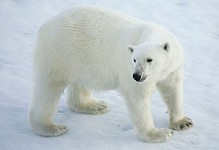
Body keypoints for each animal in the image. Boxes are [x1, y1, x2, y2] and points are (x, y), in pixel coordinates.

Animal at [28, 6, 192, 143]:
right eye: (134, 59)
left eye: (149, 59)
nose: (137, 76)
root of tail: (45, 25)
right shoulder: (131, 72)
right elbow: (138, 97)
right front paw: (159, 133)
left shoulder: (173, 67)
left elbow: (173, 90)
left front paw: (183, 122)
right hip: (59, 52)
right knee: (49, 89)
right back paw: (51, 128)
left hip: (81, 59)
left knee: (80, 82)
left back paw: (95, 106)